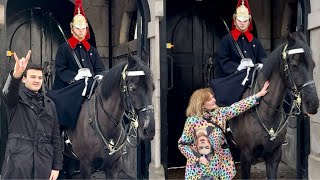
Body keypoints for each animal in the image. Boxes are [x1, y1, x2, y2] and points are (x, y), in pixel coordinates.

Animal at [230, 30, 320, 179]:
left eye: (313, 65)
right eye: (294, 65)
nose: (313, 103)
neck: (267, 112)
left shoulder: (274, 157)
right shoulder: (246, 157)